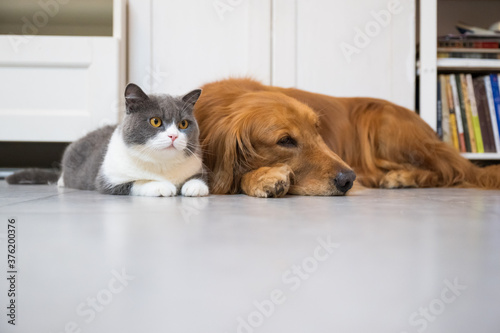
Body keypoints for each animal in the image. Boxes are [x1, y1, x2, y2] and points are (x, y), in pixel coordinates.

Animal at [9, 83, 209, 197]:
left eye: (183, 124)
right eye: (155, 121)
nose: (173, 135)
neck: (162, 165)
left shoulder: (197, 166)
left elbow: (200, 177)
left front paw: (195, 186)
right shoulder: (108, 179)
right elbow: (136, 182)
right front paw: (160, 186)